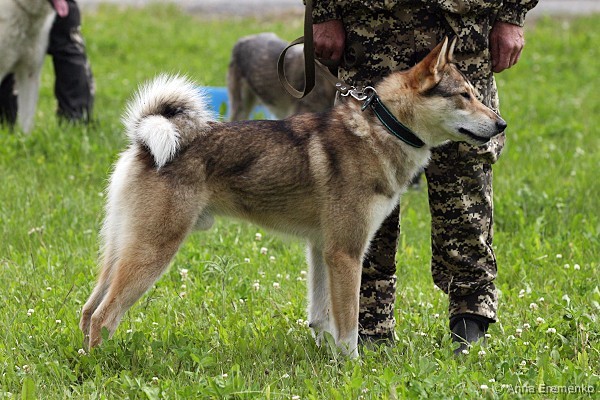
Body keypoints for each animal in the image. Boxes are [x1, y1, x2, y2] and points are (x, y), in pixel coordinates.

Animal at [80, 38, 506, 358]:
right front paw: (353, 369)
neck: (382, 129)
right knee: (104, 316)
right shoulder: (346, 253)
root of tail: (145, 141)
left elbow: (322, 317)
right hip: (153, 252)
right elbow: (348, 325)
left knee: (88, 309)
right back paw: (102, 364)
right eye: (464, 96)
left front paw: (328, 358)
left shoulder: (321, 249)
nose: (502, 124)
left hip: (122, 249)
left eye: (475, 93)